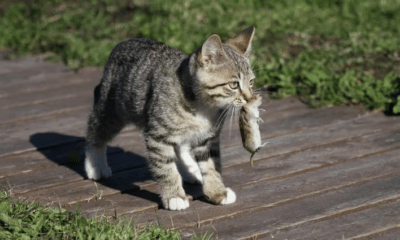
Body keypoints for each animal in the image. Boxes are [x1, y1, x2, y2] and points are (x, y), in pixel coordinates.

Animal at [85, 26, 256, 210]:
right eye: (234, 84)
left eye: (251, 82)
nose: (250, 98)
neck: (202, 106)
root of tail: (123, 43)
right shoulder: (158, 135)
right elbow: (166, 168)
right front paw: (174, 196)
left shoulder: (208, 138)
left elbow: (211, 165)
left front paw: (217, 191)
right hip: (114, 108)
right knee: (97, 127)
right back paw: (95, 164)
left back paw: (190, 170)